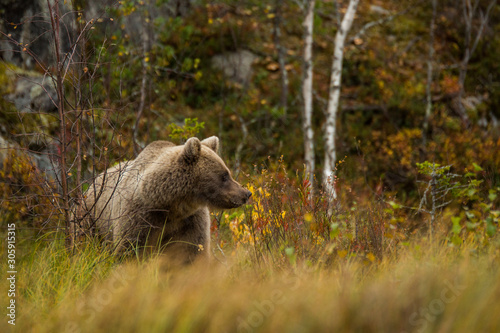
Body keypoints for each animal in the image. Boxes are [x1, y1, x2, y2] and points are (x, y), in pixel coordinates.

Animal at [69, 136, 250, 262]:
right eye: (224, 175)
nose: (246, 194)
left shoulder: (190, 222)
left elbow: (191, 252)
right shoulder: (139, 217)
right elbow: (130, 250)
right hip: (88, 220)